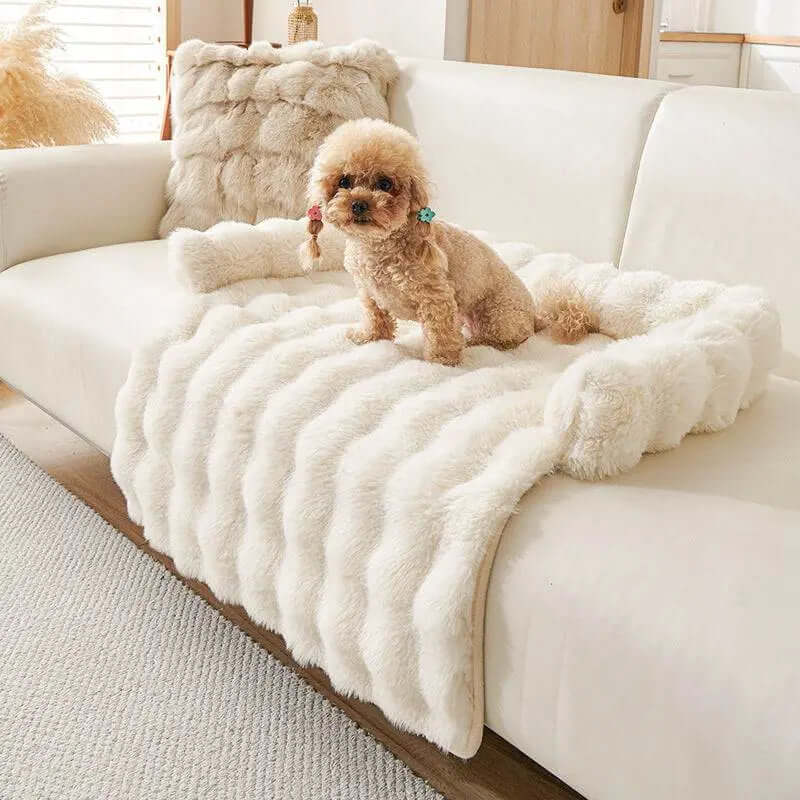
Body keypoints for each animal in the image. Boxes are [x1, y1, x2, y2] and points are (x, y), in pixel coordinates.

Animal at [296, 118, 592, 366]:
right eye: (344, 181)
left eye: (385, 183)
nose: (359, 204)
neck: (379, 247)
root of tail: (535, 317)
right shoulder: (369, 292)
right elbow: (375, 317)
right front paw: (370, 336)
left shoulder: (436, 297)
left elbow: (440, 332)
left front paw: (442, 360)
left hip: (498, 317)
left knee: (505, 340)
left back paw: (473, 342)